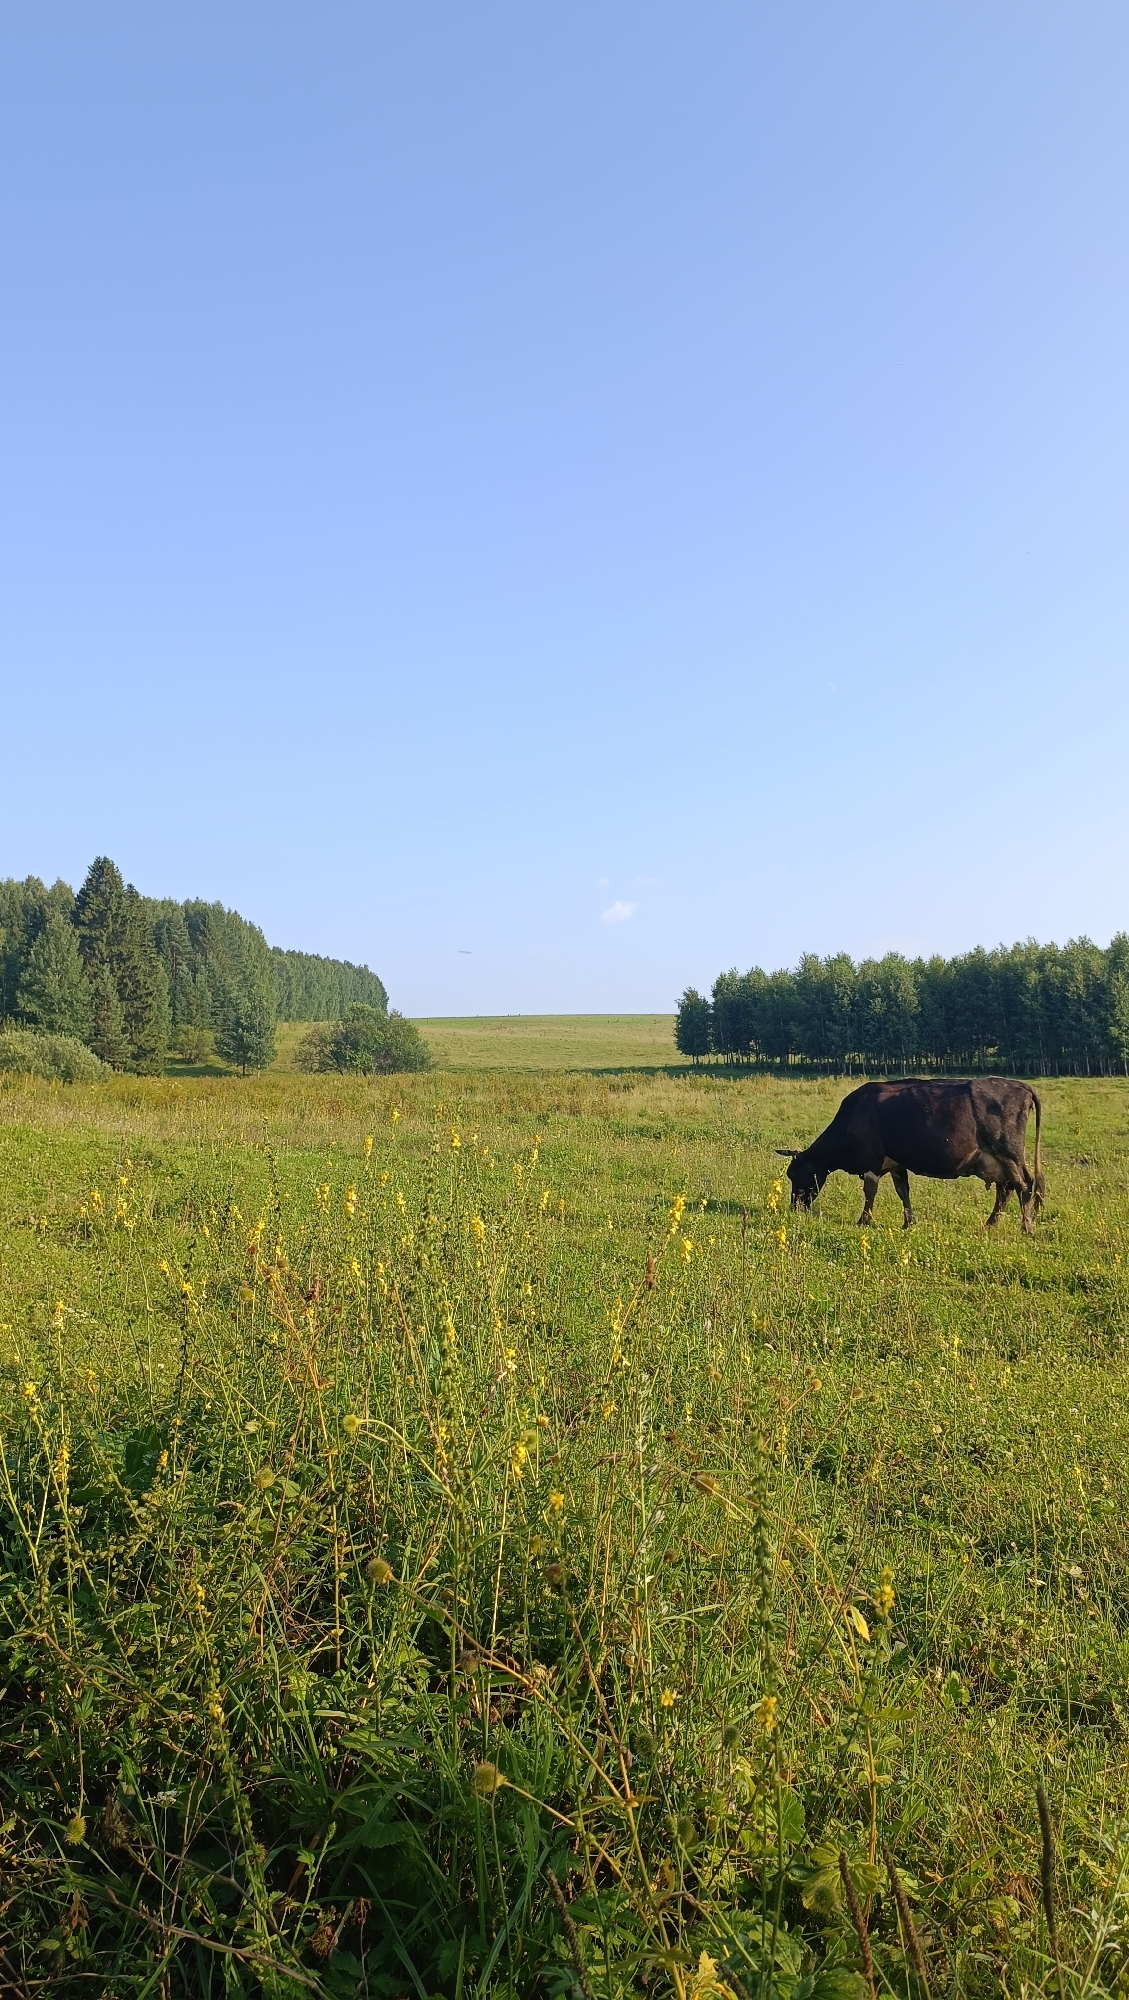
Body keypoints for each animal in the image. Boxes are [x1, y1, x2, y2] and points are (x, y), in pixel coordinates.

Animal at [777, 1077, 1044, 1234]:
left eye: (795, 1174)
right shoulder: (897, 1162)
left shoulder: (871, 1158)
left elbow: (870, 1192)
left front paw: (864, 1220)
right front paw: (908, 1222)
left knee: (1023, 1185)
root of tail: (1022, 1086)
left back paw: (1026, 1227)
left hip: (1008, 1153)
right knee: (1005, 1190)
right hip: (997, 1161)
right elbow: (902, 1191)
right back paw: (989, 1225)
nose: (794, 1207)